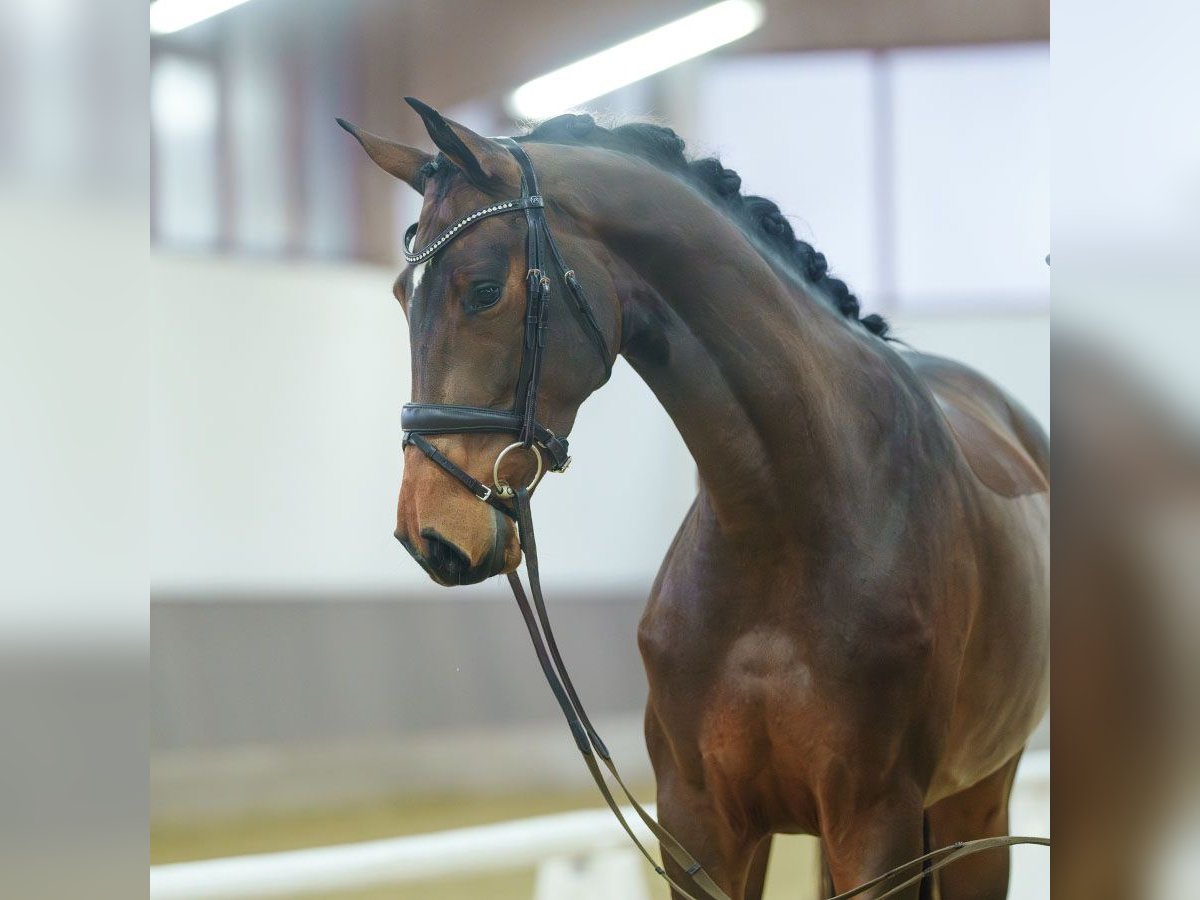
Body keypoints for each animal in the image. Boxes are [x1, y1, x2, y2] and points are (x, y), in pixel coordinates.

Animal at [340, 100, 1051, 900]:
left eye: (485, 290)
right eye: (402, 296)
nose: (428, 532)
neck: (787, 522)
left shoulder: (877, 829)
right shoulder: (699, 822)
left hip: (976, 807)